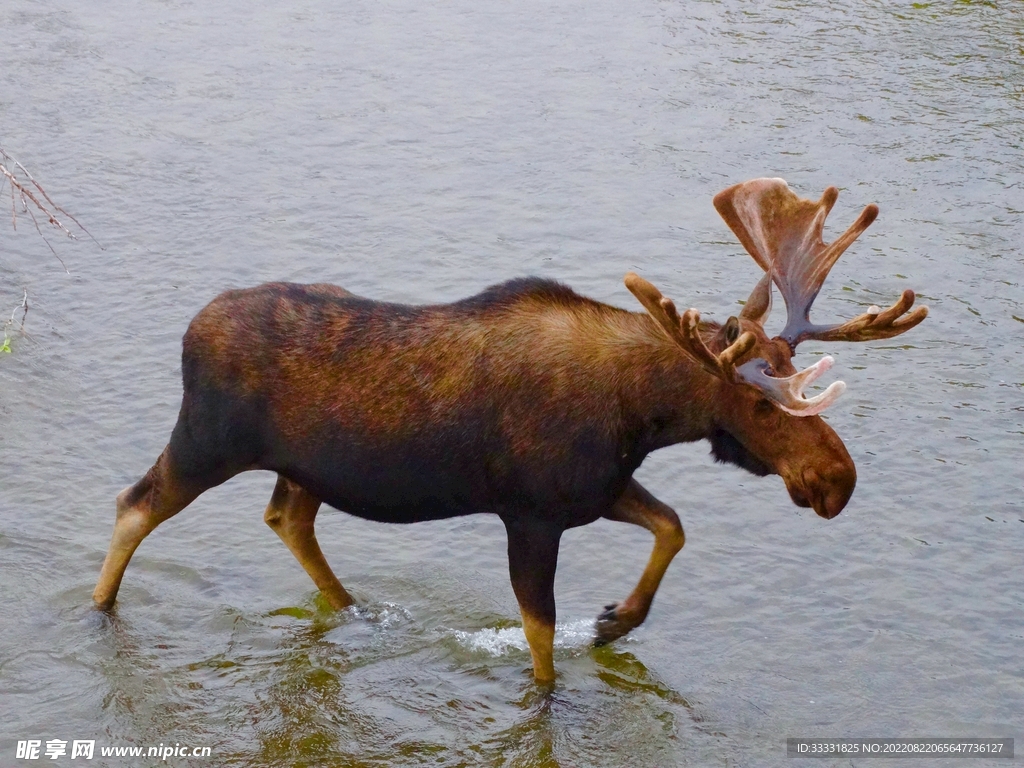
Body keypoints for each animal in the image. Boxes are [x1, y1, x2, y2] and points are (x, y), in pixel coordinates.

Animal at [92, 178, 927, 683]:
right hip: (207, 440)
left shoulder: (597, 490)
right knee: (134, 504)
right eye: (758, 404)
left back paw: (353, 608)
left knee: (286, 517)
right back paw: (100, 610)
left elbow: (673, 526)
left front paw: (617, 621)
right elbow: (541, 640)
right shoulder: (530, 513)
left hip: (302, 467)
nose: (838, 480)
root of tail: (190, 330)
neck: (644, 414)